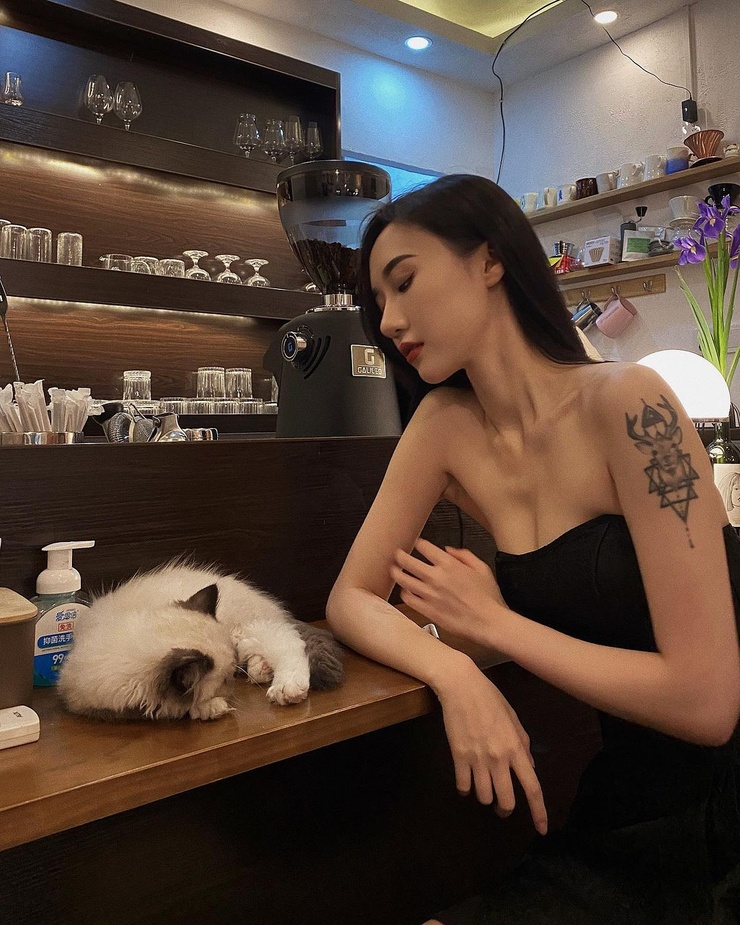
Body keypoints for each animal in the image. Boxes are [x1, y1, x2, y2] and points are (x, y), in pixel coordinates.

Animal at [58, 562, 344, 721]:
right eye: (226, 681)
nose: (233, 684)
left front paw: (212, 708)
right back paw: (260, 670)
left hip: (244, 631)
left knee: (287, 642)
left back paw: (287, 688)